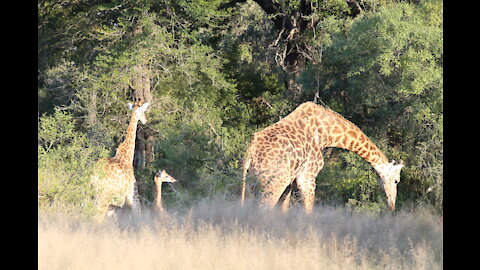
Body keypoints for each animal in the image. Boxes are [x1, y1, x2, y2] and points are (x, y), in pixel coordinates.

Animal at [242, 101, 404, 213]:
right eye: (396, 180)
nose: (392, 206)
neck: (327, 133)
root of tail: (250, 154)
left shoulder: (291, 182)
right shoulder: (308, 176)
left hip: (253, 183)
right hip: (273, 183)